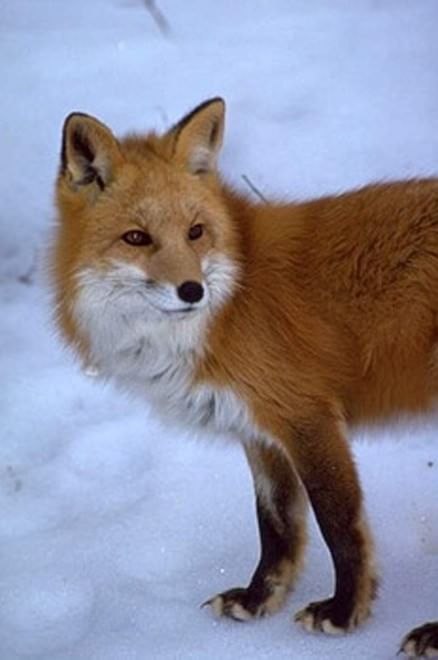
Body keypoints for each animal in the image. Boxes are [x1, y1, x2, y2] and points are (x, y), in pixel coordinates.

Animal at [51, 97, 438, 657]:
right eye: (137, 239)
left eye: (195, 232)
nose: (192, 290)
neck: (230, 302)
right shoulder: (258, 430)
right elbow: (276, 524)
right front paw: (258, 601)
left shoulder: (307, 417)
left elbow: (339, 524)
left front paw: (345, 612)